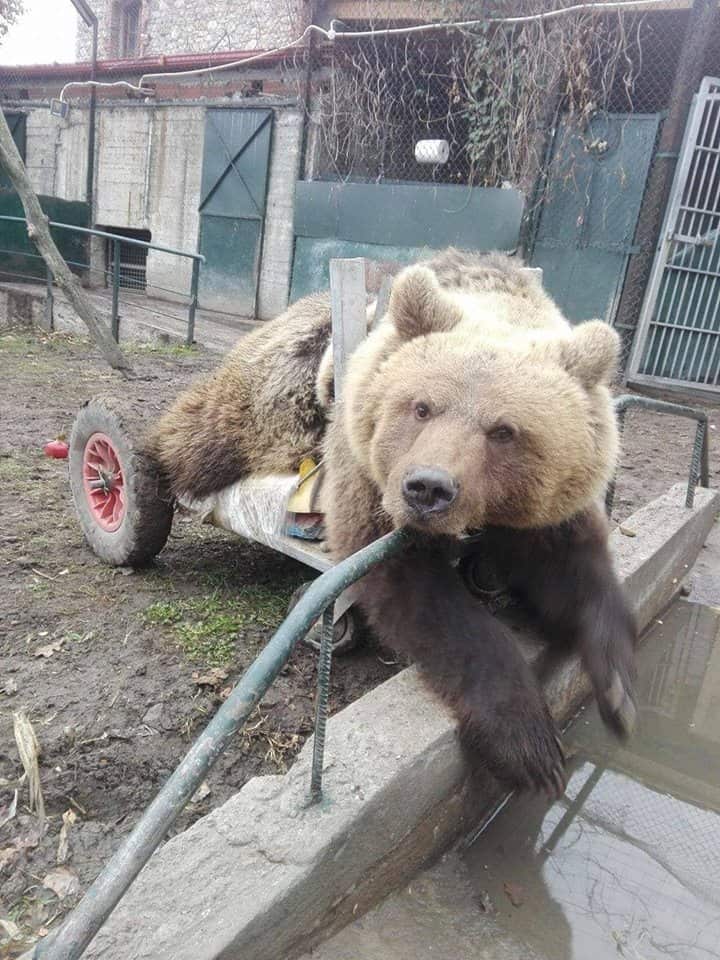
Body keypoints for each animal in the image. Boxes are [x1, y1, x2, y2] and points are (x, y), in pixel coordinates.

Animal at [322, 250, 637, 795]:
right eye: (421, 406)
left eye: (504, 431)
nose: (428, 488)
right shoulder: (372, 494)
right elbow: (427, 603)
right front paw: (531, 747)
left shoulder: (551, 510)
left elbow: (580, 575)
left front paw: (620, 691)